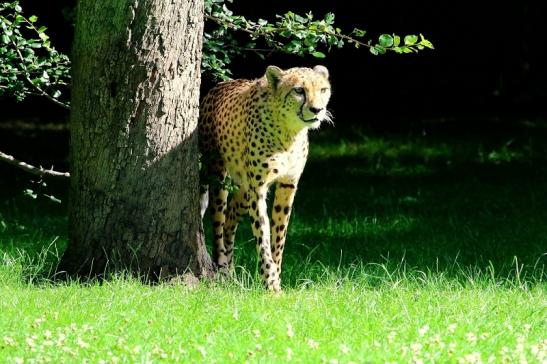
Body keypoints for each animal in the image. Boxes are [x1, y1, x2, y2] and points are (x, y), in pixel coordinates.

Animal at [198, 65, 332, 292]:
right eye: (299, 90)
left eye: (323, 90)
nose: (317, 110)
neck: (289, 133)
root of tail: (219, 85)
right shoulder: (258, 189)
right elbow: (263, 234)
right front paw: (270, 284)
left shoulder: (288, 184)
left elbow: (279, 235)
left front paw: (276, 276)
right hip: (219, 178)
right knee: (217, 223)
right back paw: (223, 269)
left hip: (244, 190)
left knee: (230, 221)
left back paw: (232, 272)